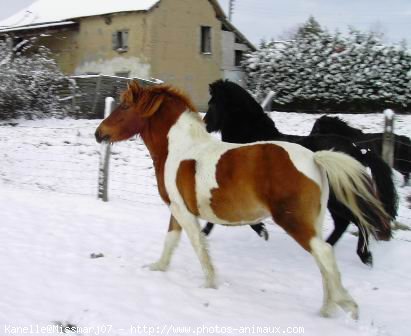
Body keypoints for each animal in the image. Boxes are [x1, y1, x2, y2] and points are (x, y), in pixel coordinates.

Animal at [201, 79, 398, 266]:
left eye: (212, 103)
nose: (205, 127)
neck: (252, 137)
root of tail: (357, 151)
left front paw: (260, 230)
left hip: (337, 198)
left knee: (359, 220)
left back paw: (364, 256)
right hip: (333, 200)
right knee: (343, 223)